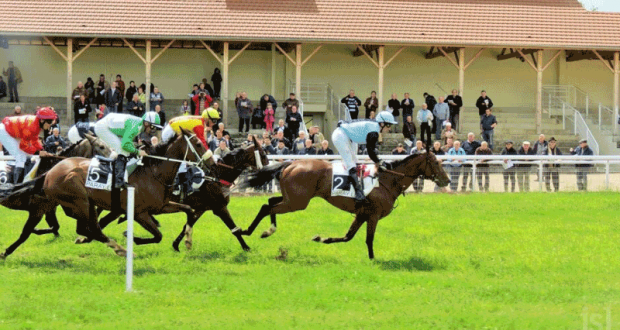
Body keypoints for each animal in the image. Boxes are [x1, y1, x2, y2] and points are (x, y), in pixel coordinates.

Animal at [0, 128, 206, 258]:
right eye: (197, 143)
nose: (210, 160)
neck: (153, 172)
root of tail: (50, 173)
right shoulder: (139, 212)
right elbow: (157, 235)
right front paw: (130, 236)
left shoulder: (160, 206)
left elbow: (188, 211)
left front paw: (186, 241)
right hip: (79, 202)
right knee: (92, 229)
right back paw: (121, 249)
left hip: (79, 204)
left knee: (90, 228)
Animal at [239, 151, 450, 260]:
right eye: (436, 163)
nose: (446, 180)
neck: (387, 180)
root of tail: (290, 164)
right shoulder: (372, 215)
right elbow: (368, 239)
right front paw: (373, 259)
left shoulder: (362, 214)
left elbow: (348, 237)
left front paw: (321, 238)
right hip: (298, 202)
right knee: (268, 207)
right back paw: (257, 231)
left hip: (292, 199)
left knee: (268, 203)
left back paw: (262, 230)